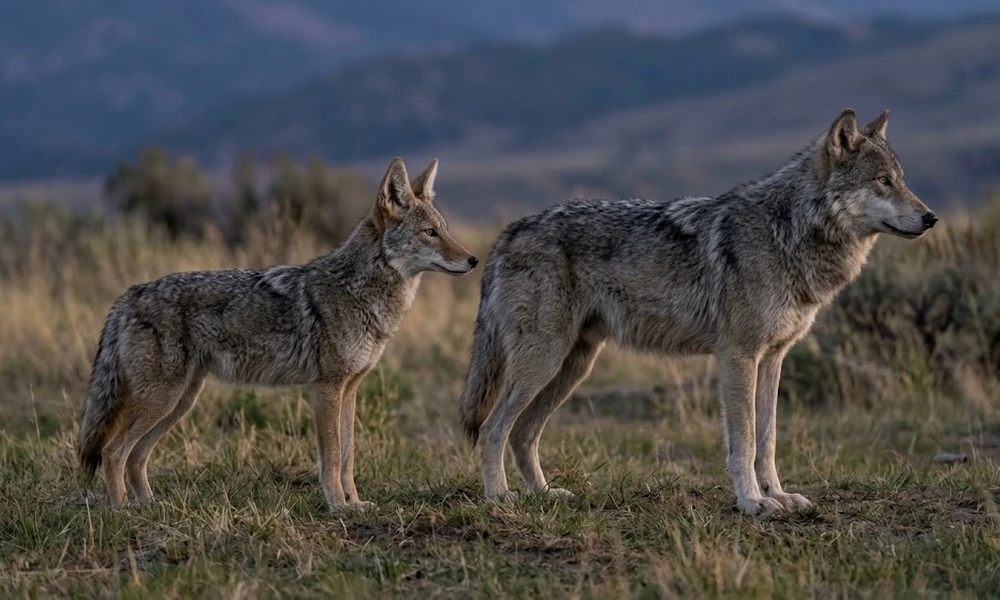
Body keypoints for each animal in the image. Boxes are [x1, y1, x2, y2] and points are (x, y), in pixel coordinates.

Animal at [78, 157, 478, 512]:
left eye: (444, 229)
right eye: (430, 233)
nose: (474, 260)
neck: (359, 290)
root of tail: (131, 294)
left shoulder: (350, 388)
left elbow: (348, 456)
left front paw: (356, 502)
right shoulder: (327, 388)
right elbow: (332, 457)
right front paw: (338, 506)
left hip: (179, 402)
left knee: (135, 456)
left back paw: (149, 506)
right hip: (162, 400)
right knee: (113, 451)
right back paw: (122, 511)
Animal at [459, 109, 937, 515]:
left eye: (901, 180)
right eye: (882, 181)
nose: (931, 217)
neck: (788, 232)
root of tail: (506, 233)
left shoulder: (773, 359)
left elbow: (768, 439)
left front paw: (779, 495)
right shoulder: (738, 357)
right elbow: (743, 441)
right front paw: (752, 502)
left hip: (573, 366)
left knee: (523, 433)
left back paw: (544, 495)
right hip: (544, 363)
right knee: (494, 429)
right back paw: (499, 498)